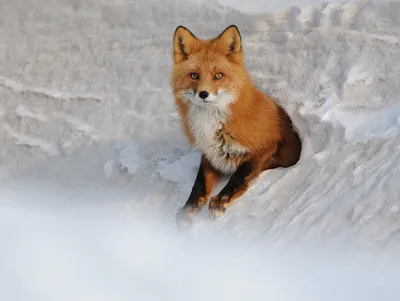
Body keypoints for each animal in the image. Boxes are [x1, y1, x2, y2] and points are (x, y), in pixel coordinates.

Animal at [170, 25, 302, 227]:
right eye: (194, 75)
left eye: (218, 75)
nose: (203, 93)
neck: (213, 124)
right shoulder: (210, 154)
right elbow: (199, 184)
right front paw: (188, 208)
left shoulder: (266, 147)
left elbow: (239, 176)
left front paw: (220, 201)